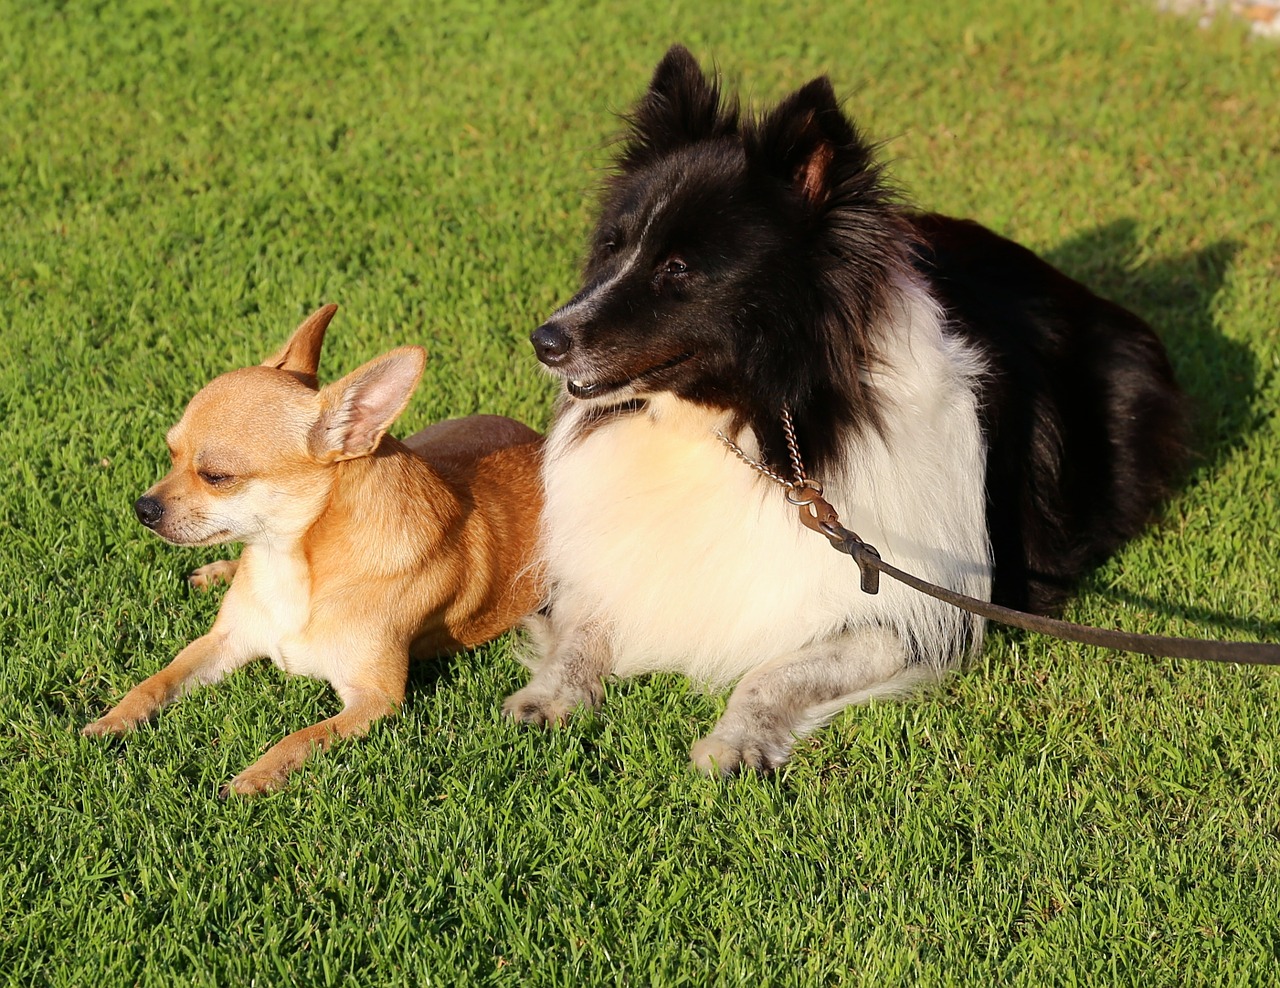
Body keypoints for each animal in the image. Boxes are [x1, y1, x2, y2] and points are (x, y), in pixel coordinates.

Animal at [501, 46, 1187, 778]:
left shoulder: (916, 609)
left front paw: (736, 740)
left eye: (679, 268)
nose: (544, 341)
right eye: (612, 247)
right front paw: (550, 693)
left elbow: (776, 671)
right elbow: (584, 623)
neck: (738, 426)